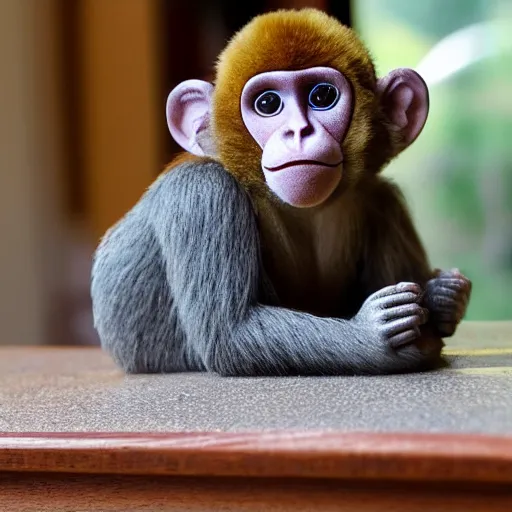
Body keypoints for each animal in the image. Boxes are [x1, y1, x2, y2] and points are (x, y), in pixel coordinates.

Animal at [90, 8, 470, 376]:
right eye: (268, 103)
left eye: (322, 96)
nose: (298, 131)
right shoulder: (203, 193)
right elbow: (229, 335)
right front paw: (376, 338)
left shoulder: (379, 197)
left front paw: (442, 297)